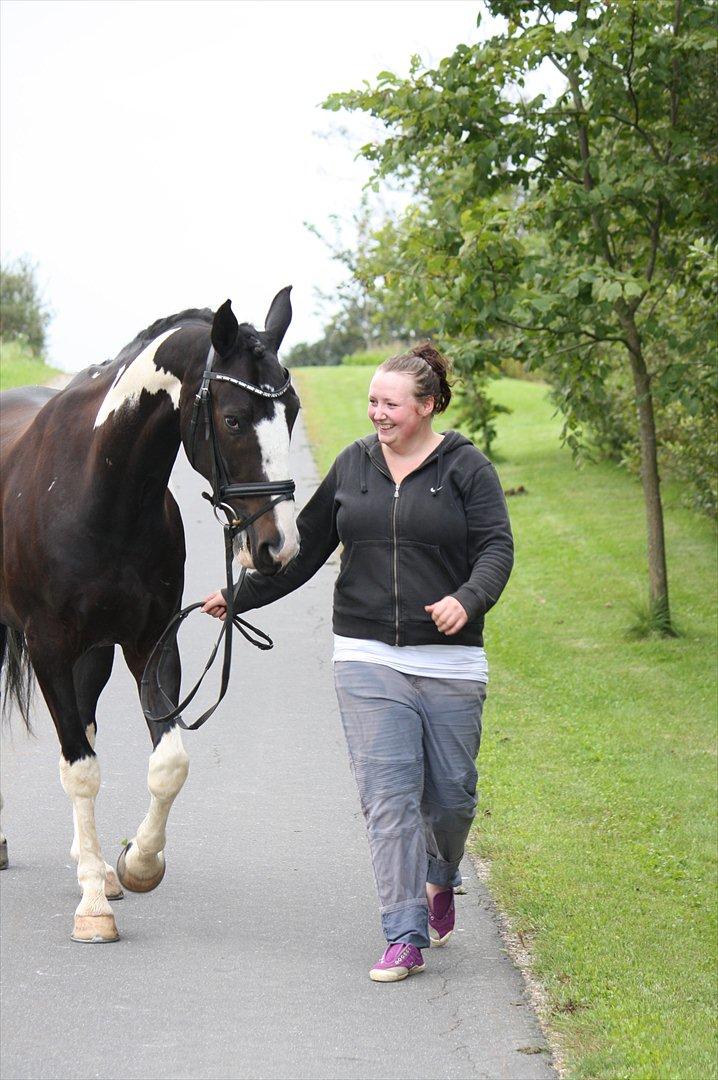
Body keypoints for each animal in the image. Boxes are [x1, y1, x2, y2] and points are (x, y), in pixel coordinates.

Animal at [0, 291, 300, 941]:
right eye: (233, 418)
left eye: (290, 412)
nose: (278, 546)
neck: (99, 490)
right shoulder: (49, 647)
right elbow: (80, 770)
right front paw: (93, 907)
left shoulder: (149, 643)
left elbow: (167, 763)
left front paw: (133, 867)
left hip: (95, 652)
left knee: (86, 724)